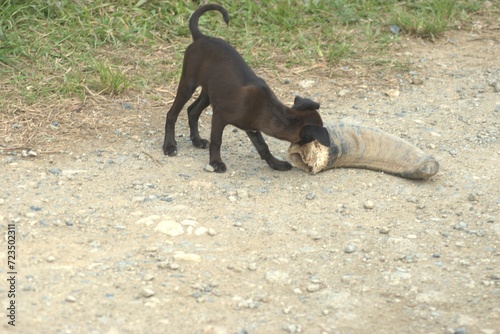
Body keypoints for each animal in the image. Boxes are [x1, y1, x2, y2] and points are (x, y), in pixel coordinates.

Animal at [162, 3, 330, 172]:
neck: (271, 110)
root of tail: (201, 37)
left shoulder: (252, 128)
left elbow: (263, 147)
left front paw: (276, 164)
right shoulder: (219, 117)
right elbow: (217, 141)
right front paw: (216, 162)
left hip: (209, 92)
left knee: (192, 111)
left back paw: (196, 140)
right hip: (188, 83)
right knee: (172, 114)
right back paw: (169, 146)